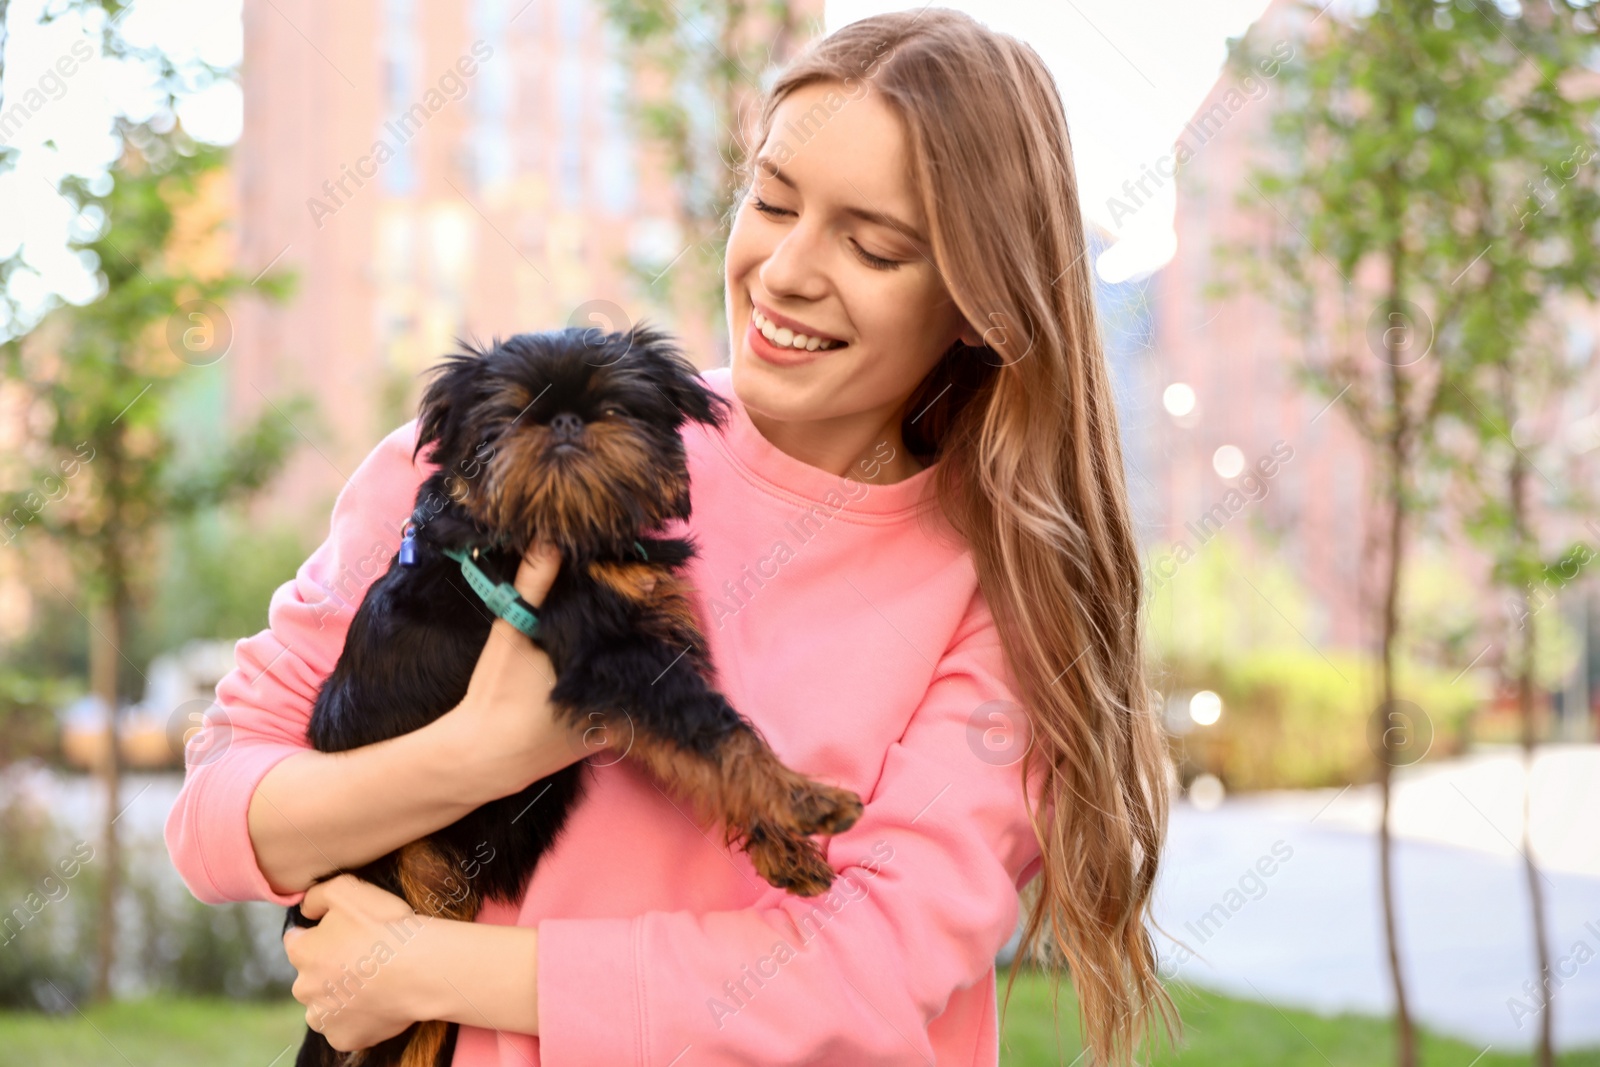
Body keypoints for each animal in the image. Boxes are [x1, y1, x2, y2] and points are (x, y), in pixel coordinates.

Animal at [286, 326, 864, 1067]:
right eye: (507, 418)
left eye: (614, 405)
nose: (562, 420)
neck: (571, 536)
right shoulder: (614, 662)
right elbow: (718, 731)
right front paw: (801, 799)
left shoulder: (641, 669)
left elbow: (703, 750)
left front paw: (782, 844)